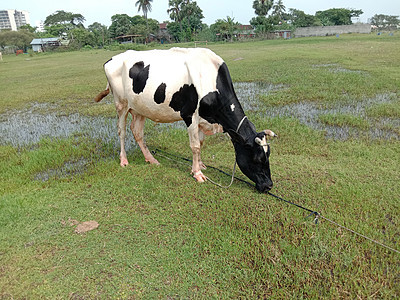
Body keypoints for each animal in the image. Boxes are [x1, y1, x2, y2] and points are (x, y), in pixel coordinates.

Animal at [94, 47, 276, 192]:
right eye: (257, 158)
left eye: (268, 155)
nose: (268, 186)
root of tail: (113, 58)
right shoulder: (190, 116)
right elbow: (195, 146)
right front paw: (197, 173)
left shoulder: (203, 120)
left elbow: (201, 143)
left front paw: (201, 165)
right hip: (121, 104)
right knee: (122, 131)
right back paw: (124, 160)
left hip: (139, 108)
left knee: (137, 132)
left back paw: (151, 159)